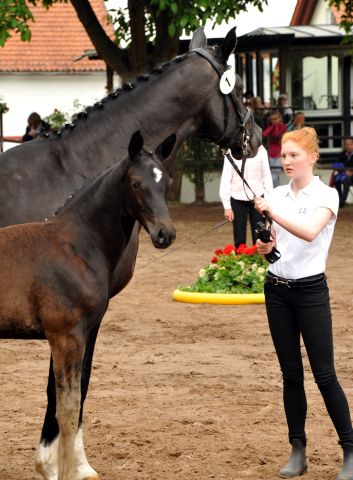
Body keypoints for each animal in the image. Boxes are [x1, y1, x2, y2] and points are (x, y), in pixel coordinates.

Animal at [0, 132, 175, 480]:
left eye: (168, 182)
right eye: (135, 183)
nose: (166, 233)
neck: (75, 246)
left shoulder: (84, 332)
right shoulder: (66, 336)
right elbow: (68, 407)